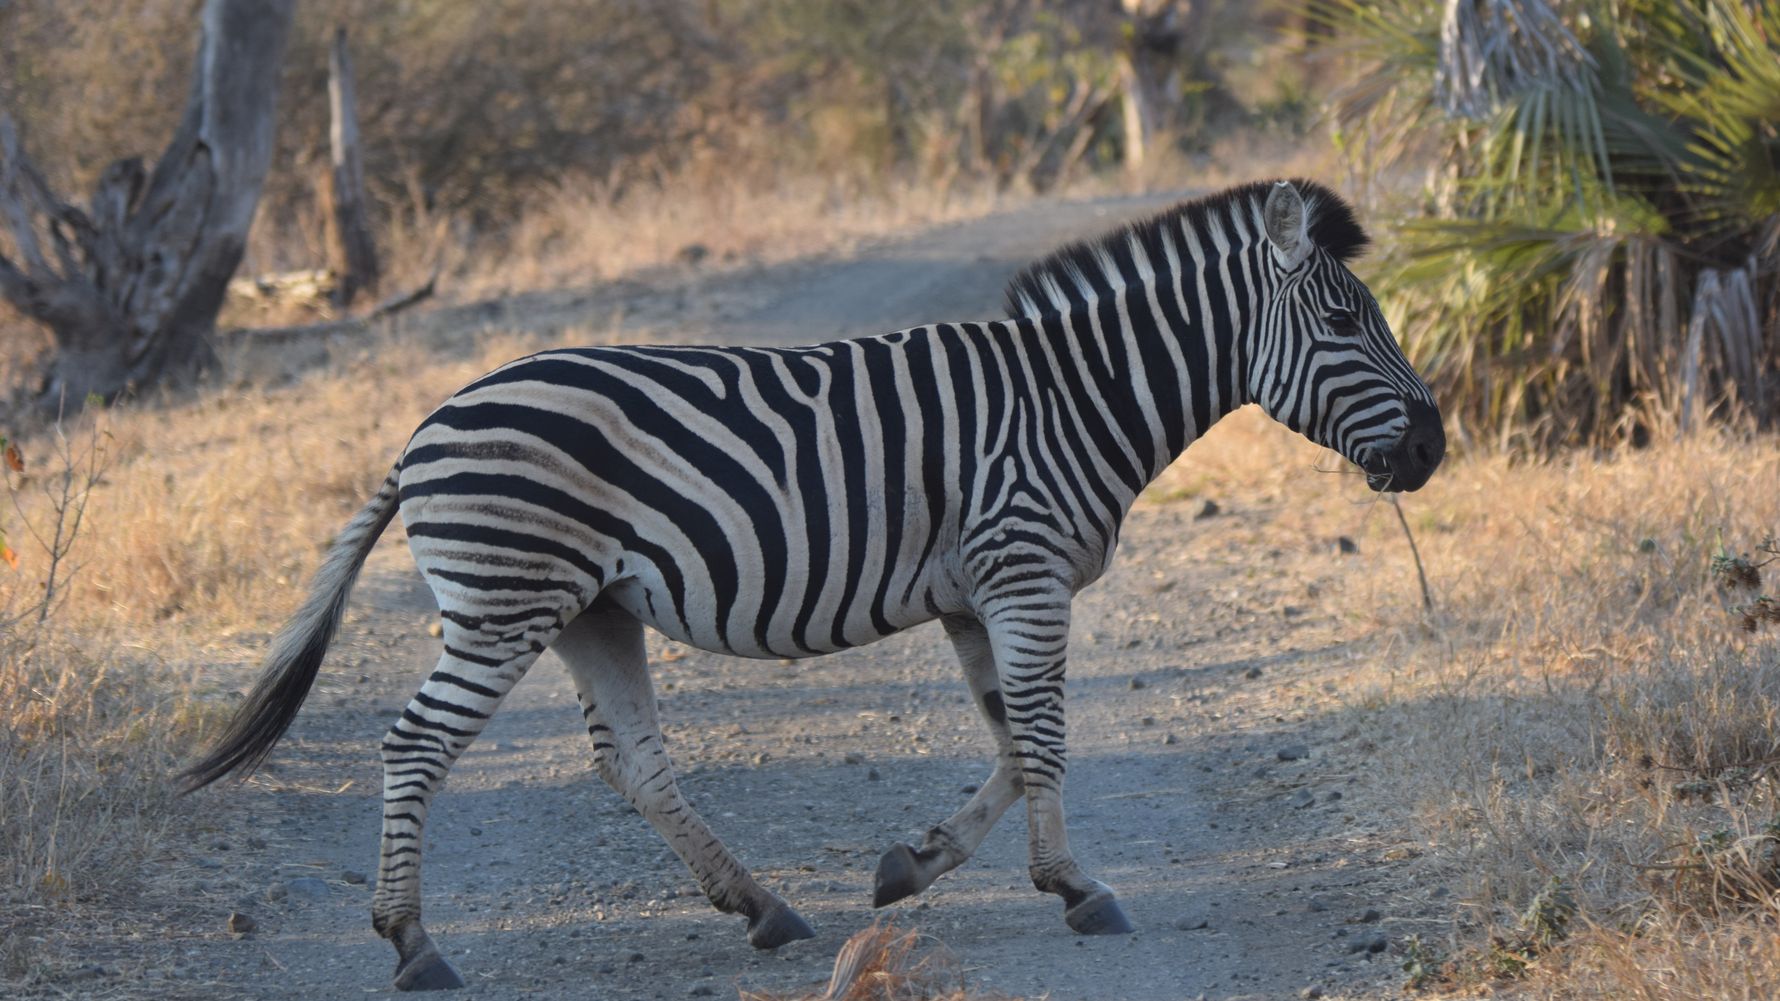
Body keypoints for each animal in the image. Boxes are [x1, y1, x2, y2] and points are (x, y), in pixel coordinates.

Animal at [182, 179, 1444, 991]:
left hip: (591, 608)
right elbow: (1042, 736)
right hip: (506, 597)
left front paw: (917, 862)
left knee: (633, 760)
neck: (1074, 398)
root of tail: (420, 431)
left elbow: (1007, 738)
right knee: (415, 745)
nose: (1433, 450)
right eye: (1345, 318)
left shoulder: (976, 591)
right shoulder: (1024, 568)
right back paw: (414, 944)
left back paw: (765, 907)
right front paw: (1077, 884)